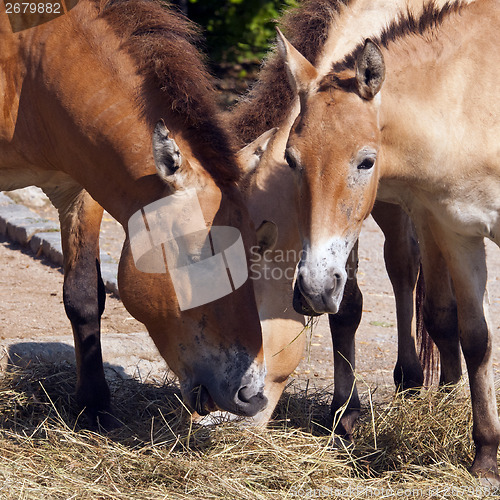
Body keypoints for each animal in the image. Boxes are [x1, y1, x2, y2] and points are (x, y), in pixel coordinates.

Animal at [0, 0, 270, 426]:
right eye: (198, 256)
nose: (252, 394)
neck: (28, 65)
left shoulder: (81, 185)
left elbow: (83, 295)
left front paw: (93, 405)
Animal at [278, 0, 500, 482]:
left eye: (366, 161)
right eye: (291, 158)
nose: (315, 289)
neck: (474, 98)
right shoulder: (458, 232)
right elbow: (476, 337)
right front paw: (486, 460)